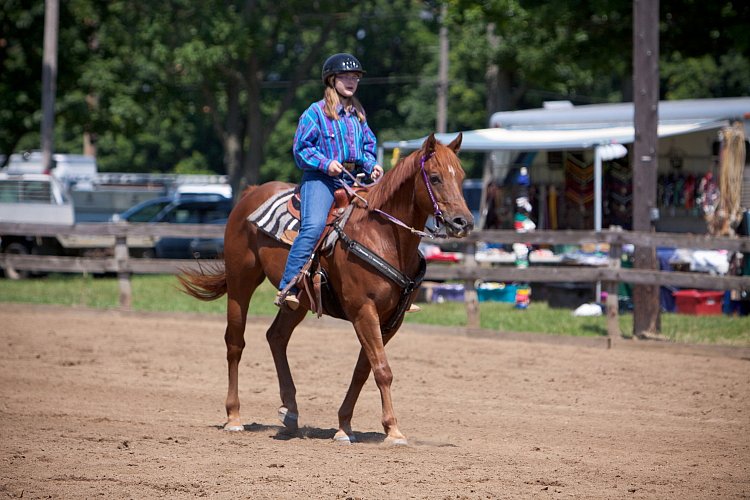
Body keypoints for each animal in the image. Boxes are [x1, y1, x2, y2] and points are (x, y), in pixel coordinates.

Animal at [179, 133, 472, 446]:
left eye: (461, 176)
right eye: (435, 177)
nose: (463, 222)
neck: (381, 235)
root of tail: (251, 193)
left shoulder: (391, 320)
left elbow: (363, 370)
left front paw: (344, 426)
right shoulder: (363, 310)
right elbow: (382, 370)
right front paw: (393, 430)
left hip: (299, 301)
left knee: (276, 337)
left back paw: (290, 412)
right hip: (240, 282)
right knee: (235, 343)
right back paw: (234, 416)